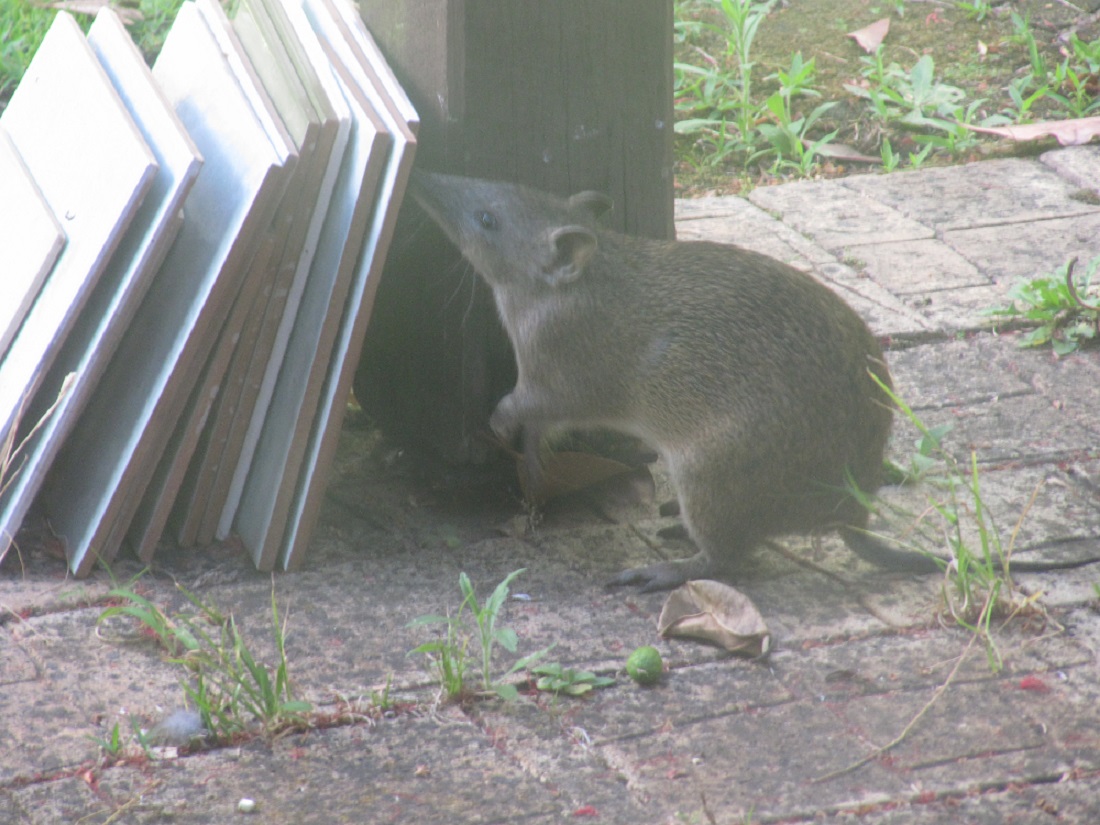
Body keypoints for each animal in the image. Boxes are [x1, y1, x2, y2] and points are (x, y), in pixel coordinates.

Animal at [408, 171, 1099, 589]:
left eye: (487, 219)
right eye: (499, 188)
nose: (421, 176)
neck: (584, 278)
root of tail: (851, 514)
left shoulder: (556, 379)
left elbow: (523, 407)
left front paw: (499, 428)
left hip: (707, 471)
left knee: (728, 560)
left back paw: (665, 566)